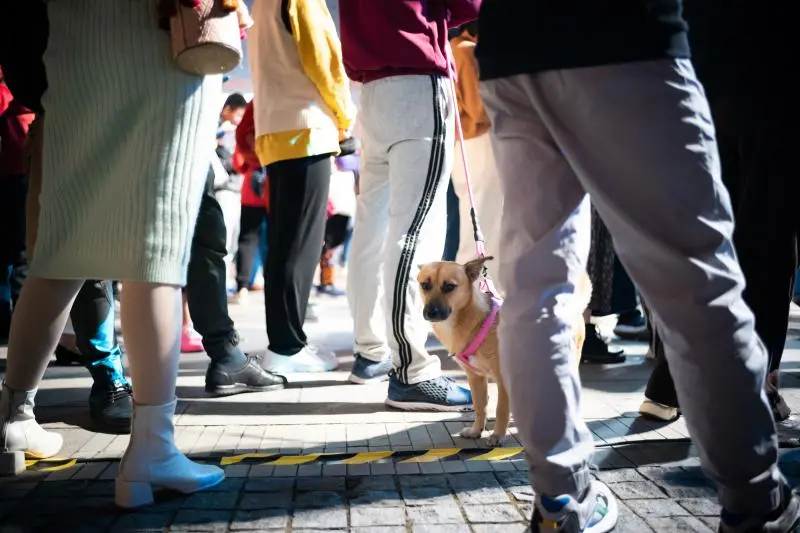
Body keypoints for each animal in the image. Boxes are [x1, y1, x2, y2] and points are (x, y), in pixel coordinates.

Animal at [416, 256, 592, 444]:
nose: (430, 312)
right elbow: (480, 407)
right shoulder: (476, 378)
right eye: (425, 285)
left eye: (449, 286)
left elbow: (501, 409)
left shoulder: (503, 380)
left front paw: (498, 435)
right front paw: (476, 431)